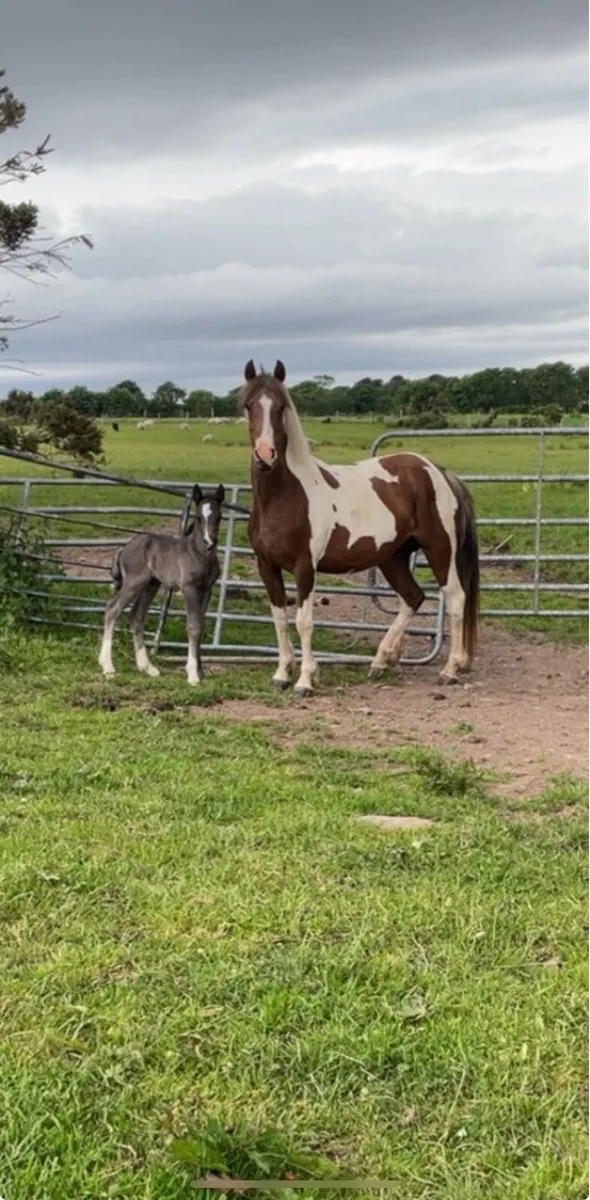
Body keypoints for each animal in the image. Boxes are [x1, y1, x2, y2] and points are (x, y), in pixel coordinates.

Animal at [98, 484, 224, 685]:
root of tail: (124, 548)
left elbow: (201, 625)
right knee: (112, 609)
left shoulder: (207, 590)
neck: (199, 554)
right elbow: (193, 626)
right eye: (198, 517)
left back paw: (147, 667)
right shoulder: (189, 588)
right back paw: (108, 666)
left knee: (136, 616)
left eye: (219, 517)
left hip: (151, 585)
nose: (209, 542)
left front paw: (201, 671)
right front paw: (192, 675)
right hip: (134, 583)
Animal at [239, 359, 479, 697]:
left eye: (281, 406)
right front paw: (282, 674)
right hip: (392, 557)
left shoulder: (304, 567)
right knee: (413, 598)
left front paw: (305, 680)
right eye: (248, 406)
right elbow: (279, 618)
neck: (285, 496)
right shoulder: (266, 565)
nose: (265, 455)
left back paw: (450, 670)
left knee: (456, 598)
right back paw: (381, 662)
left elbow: (303, 621)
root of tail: (439, 472)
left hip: (440, 549)